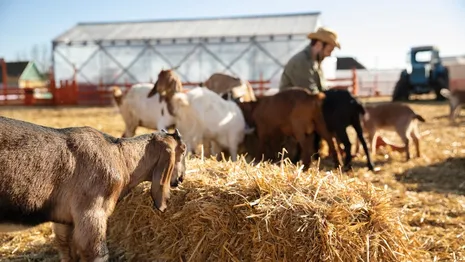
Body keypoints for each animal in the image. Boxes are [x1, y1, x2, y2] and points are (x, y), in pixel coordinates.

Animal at [0, 116, 188, 262]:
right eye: (183, 150)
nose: (181, 178)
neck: (121, 157)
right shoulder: (91, 212)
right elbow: (98, 253)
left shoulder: (65, 221)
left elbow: (67, 252)